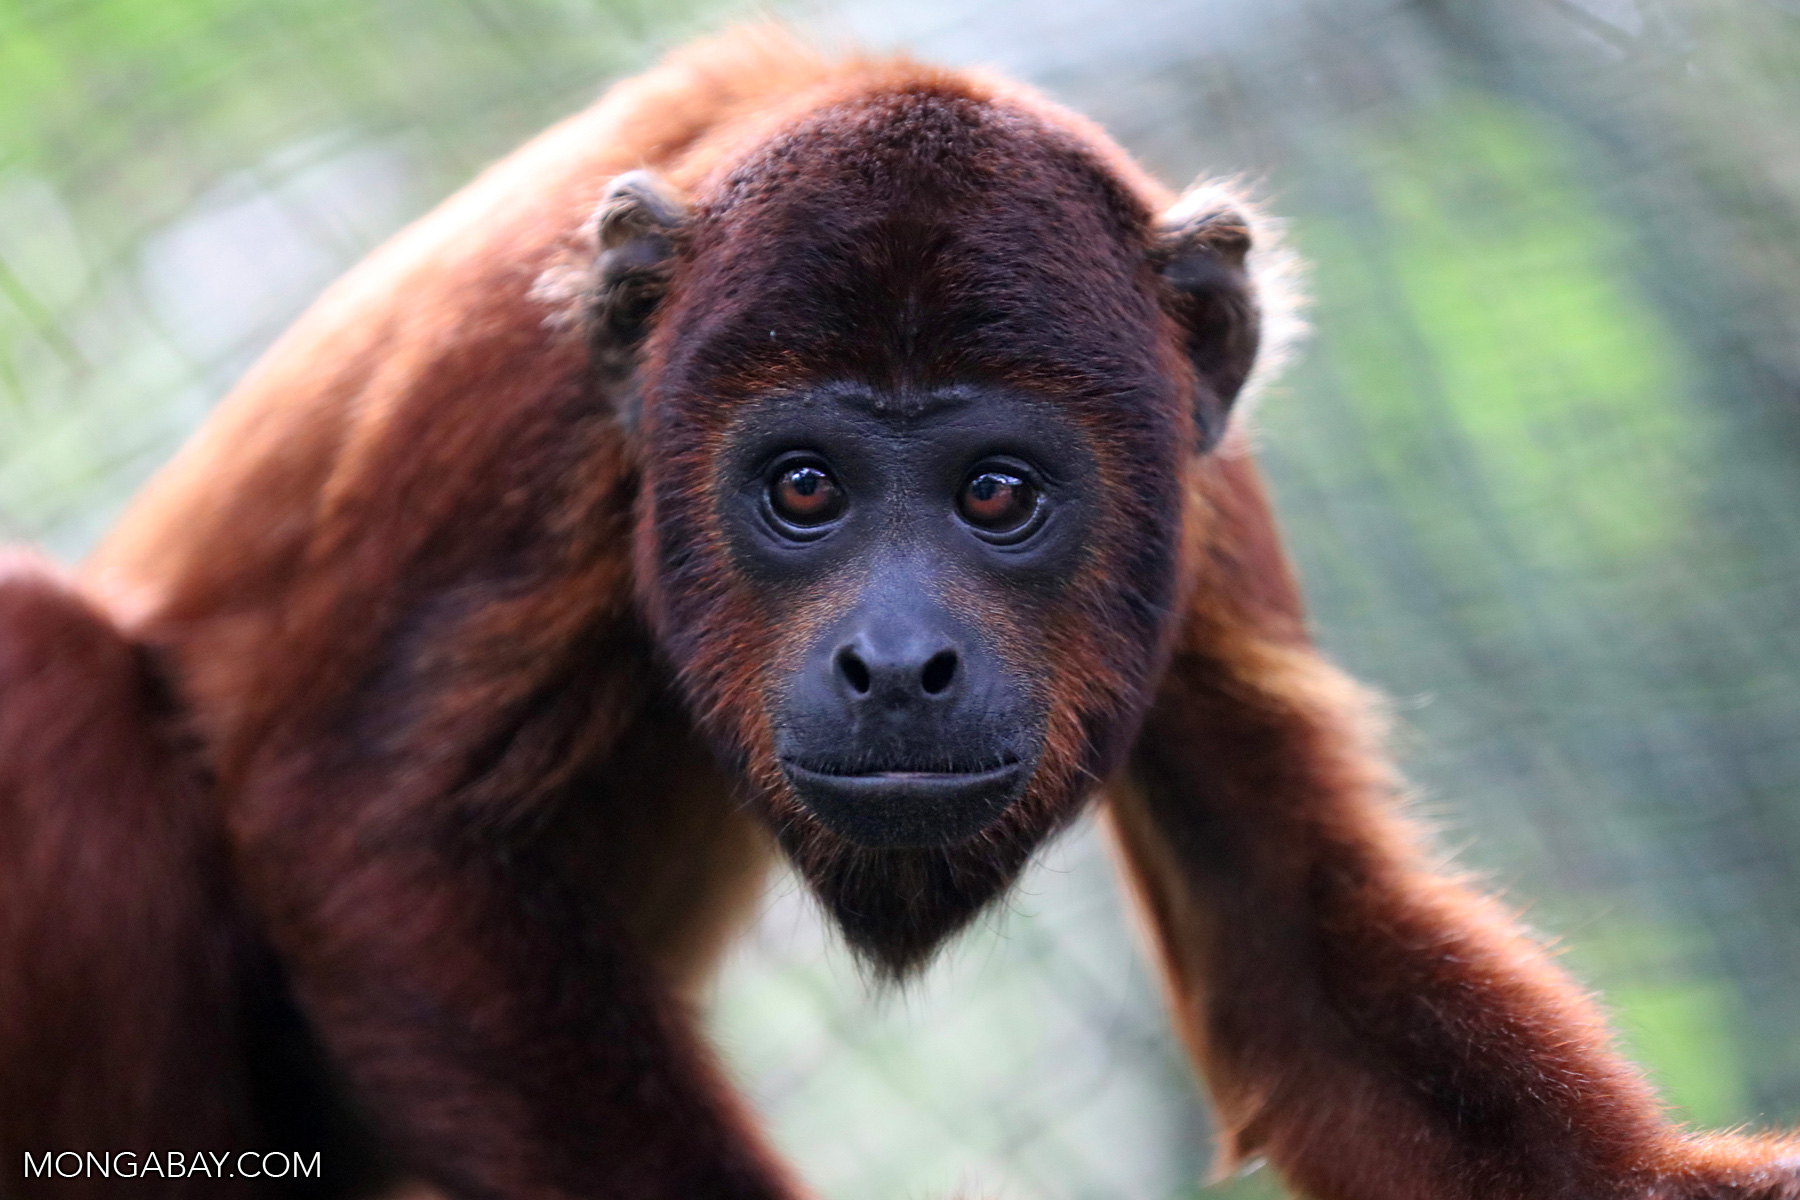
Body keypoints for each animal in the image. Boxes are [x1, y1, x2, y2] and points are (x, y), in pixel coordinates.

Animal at [3, 25, 1800, 1200]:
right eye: (803, 489)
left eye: (997, 494)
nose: (896, 661)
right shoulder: (524, 397)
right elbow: (363, 835)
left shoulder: (1199, 484)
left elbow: (1300, 944)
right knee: (55, 672)